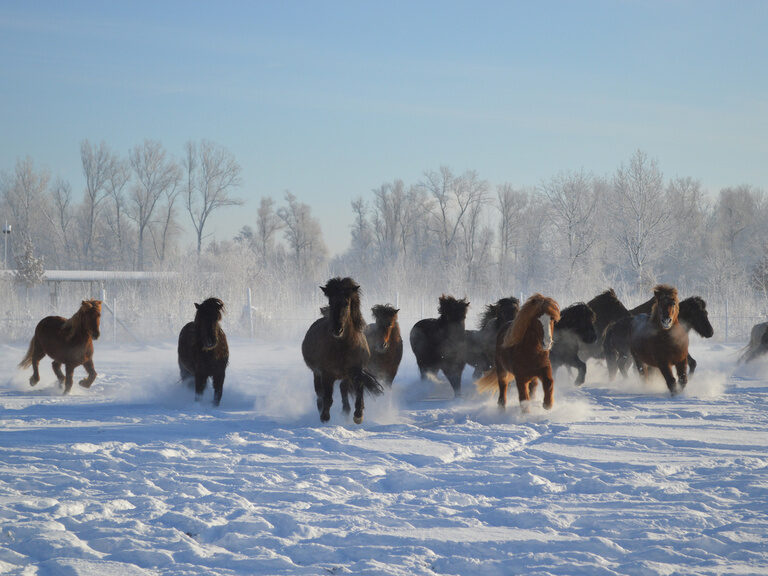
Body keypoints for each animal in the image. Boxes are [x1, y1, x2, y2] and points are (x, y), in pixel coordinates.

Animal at [302, 280, 382, 424]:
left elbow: (359, 389)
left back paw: (346, 411)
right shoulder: (326, 374)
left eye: (346, 303)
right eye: (330, 302)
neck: (342, 347)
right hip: (317, 373)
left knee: (343, 390)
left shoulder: (356, 371)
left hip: (344, 376)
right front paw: (325, 417)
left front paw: (358, 414)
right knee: (320, 393)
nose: (337, 330)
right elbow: (327, 397)